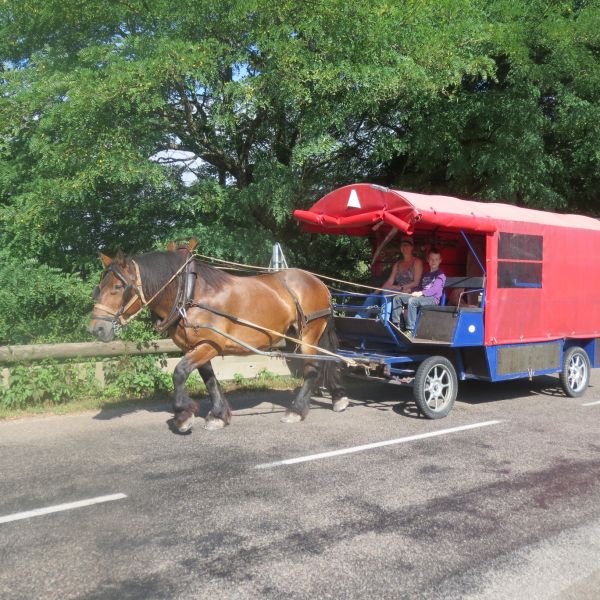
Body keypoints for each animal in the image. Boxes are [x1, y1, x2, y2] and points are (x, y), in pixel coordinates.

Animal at [91, 246, 350, 434]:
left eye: (118, 286)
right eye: (99, 287)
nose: (97, 329)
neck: (190, 294)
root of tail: (318, 282)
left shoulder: (209, 345)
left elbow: (180, 372)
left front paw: (183, 416)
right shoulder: (197, 346)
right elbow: (210, 380)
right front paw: (218, 415)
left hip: (309, 332)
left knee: (312, 368)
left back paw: (296, 410)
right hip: (298, 335)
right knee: (327, 361)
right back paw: (338, 397)